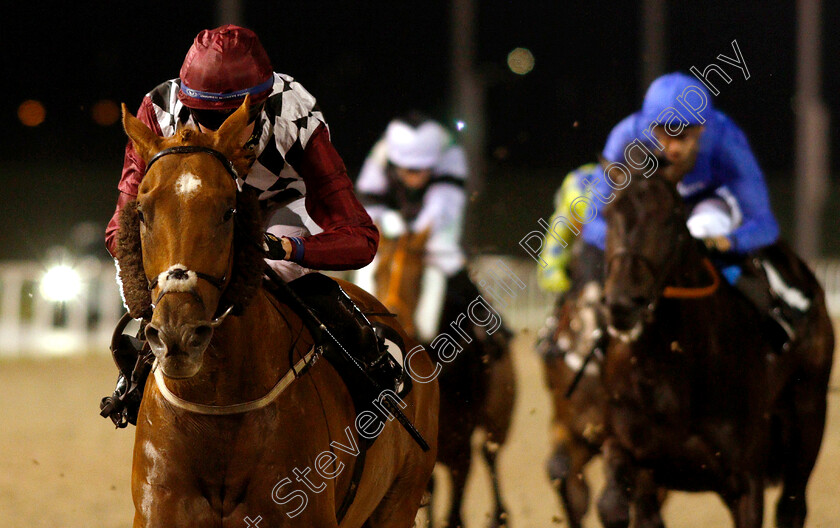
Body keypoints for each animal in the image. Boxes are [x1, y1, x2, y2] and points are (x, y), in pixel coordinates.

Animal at [117, 100, 440, 528]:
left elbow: (360, 231)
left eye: (228, 211)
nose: (177, 336)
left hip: (399, 502)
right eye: (142, 211)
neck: (216, 409)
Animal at [372, 231, 516, 528]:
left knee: (490, 453)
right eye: (378, 273)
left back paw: (500, 514)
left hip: (499, 415)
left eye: (419, 278)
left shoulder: (461, 448)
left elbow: (455, 515)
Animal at [596, 168, 832, 528]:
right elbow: (613, 503)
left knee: (792, 507)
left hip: (808, 417)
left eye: (670, 219)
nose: (622, 303)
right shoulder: (637, 454)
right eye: (609, 214)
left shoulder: (746, 479)